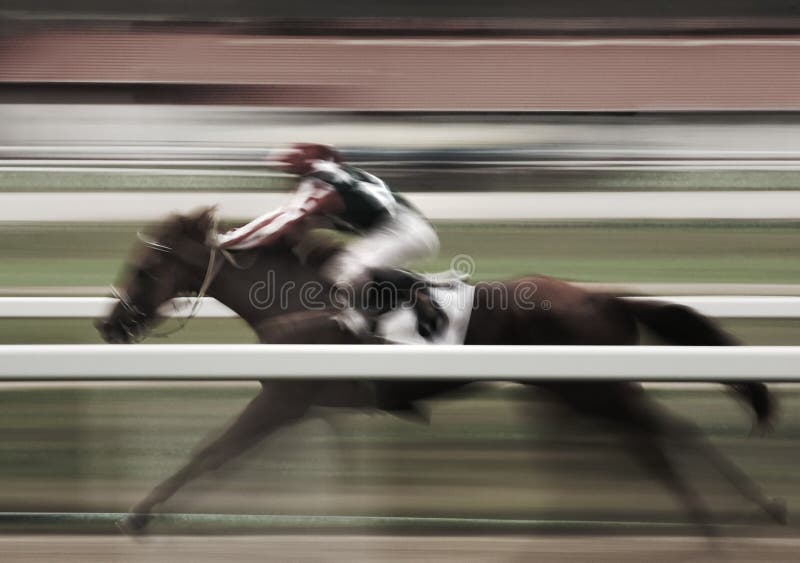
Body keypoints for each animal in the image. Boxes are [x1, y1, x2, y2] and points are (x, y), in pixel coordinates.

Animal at [95, 208, 788, 536]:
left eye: (145, 267)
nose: (108, 324)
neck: (297, 297)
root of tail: (603, 297)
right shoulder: (305, 404)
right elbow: (234, 456)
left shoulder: (284, 399)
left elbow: (211, 452)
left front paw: (137, 516)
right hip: (571, 392)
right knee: (648, 439)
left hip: (595, 389)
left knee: (669, 434)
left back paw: (744, 513)